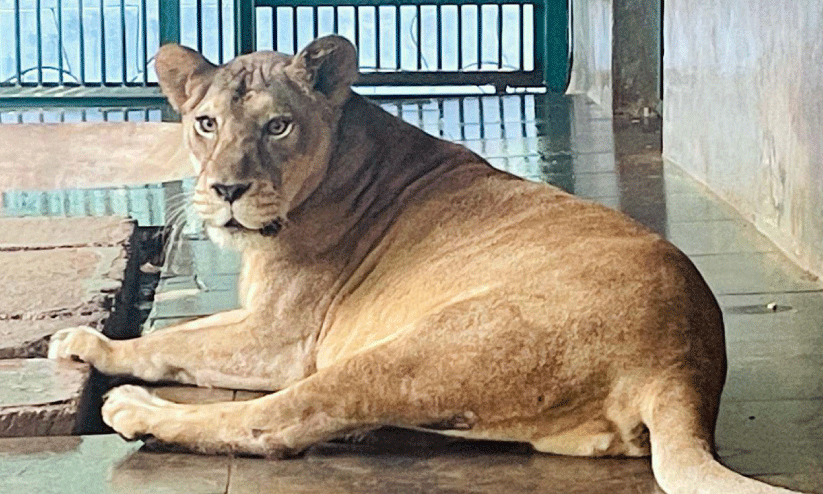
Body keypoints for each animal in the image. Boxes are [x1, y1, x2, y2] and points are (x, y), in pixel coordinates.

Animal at [48, 36, 800, 494]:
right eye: (205, 123)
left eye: (277, 126)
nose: (226, 190)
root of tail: (687, 360)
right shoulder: (262, 320)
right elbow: (179, 336)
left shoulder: (282, 340)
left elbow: (173, 342)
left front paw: (89, 346)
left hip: (410, 349)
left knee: (278, 423)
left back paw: (135, 411)